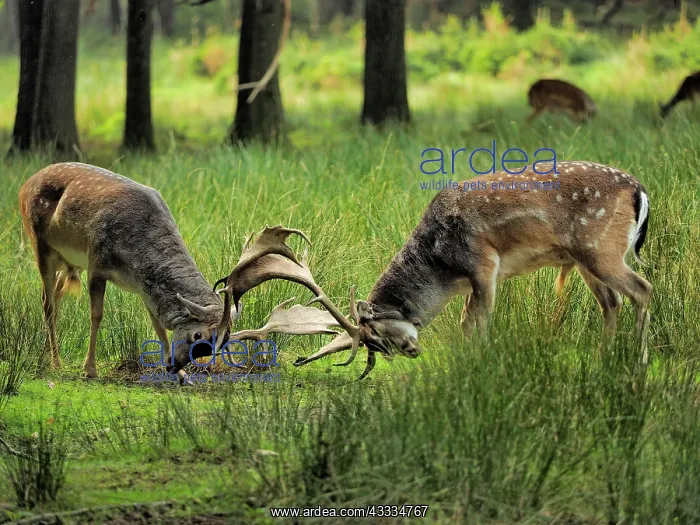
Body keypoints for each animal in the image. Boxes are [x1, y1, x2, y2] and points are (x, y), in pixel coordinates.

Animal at [203, 161, 652, 382]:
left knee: (642, 289)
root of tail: (640, 190)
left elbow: (481, 322)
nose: (412, 351)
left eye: (378, 338)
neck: (442, 268)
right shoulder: (471, 282)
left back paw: (638, 362)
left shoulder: (485, 265)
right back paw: (604, 358)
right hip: (584, 261)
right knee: (612, 302)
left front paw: (480, 365)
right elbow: (467, 322)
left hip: (600, 250)